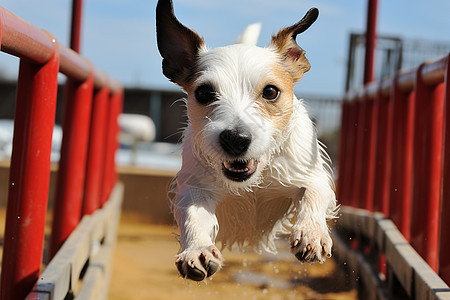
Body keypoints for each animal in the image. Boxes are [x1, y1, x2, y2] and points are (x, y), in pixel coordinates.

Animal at [156, 0, 336, 282]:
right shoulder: (195, 189)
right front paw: (197, 249)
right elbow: (193, 217)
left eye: (271, 92)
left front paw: (312, 233)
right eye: (204, 93)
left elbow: (313, 194)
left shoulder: (312, 175)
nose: (235, 139)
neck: (254, 182)